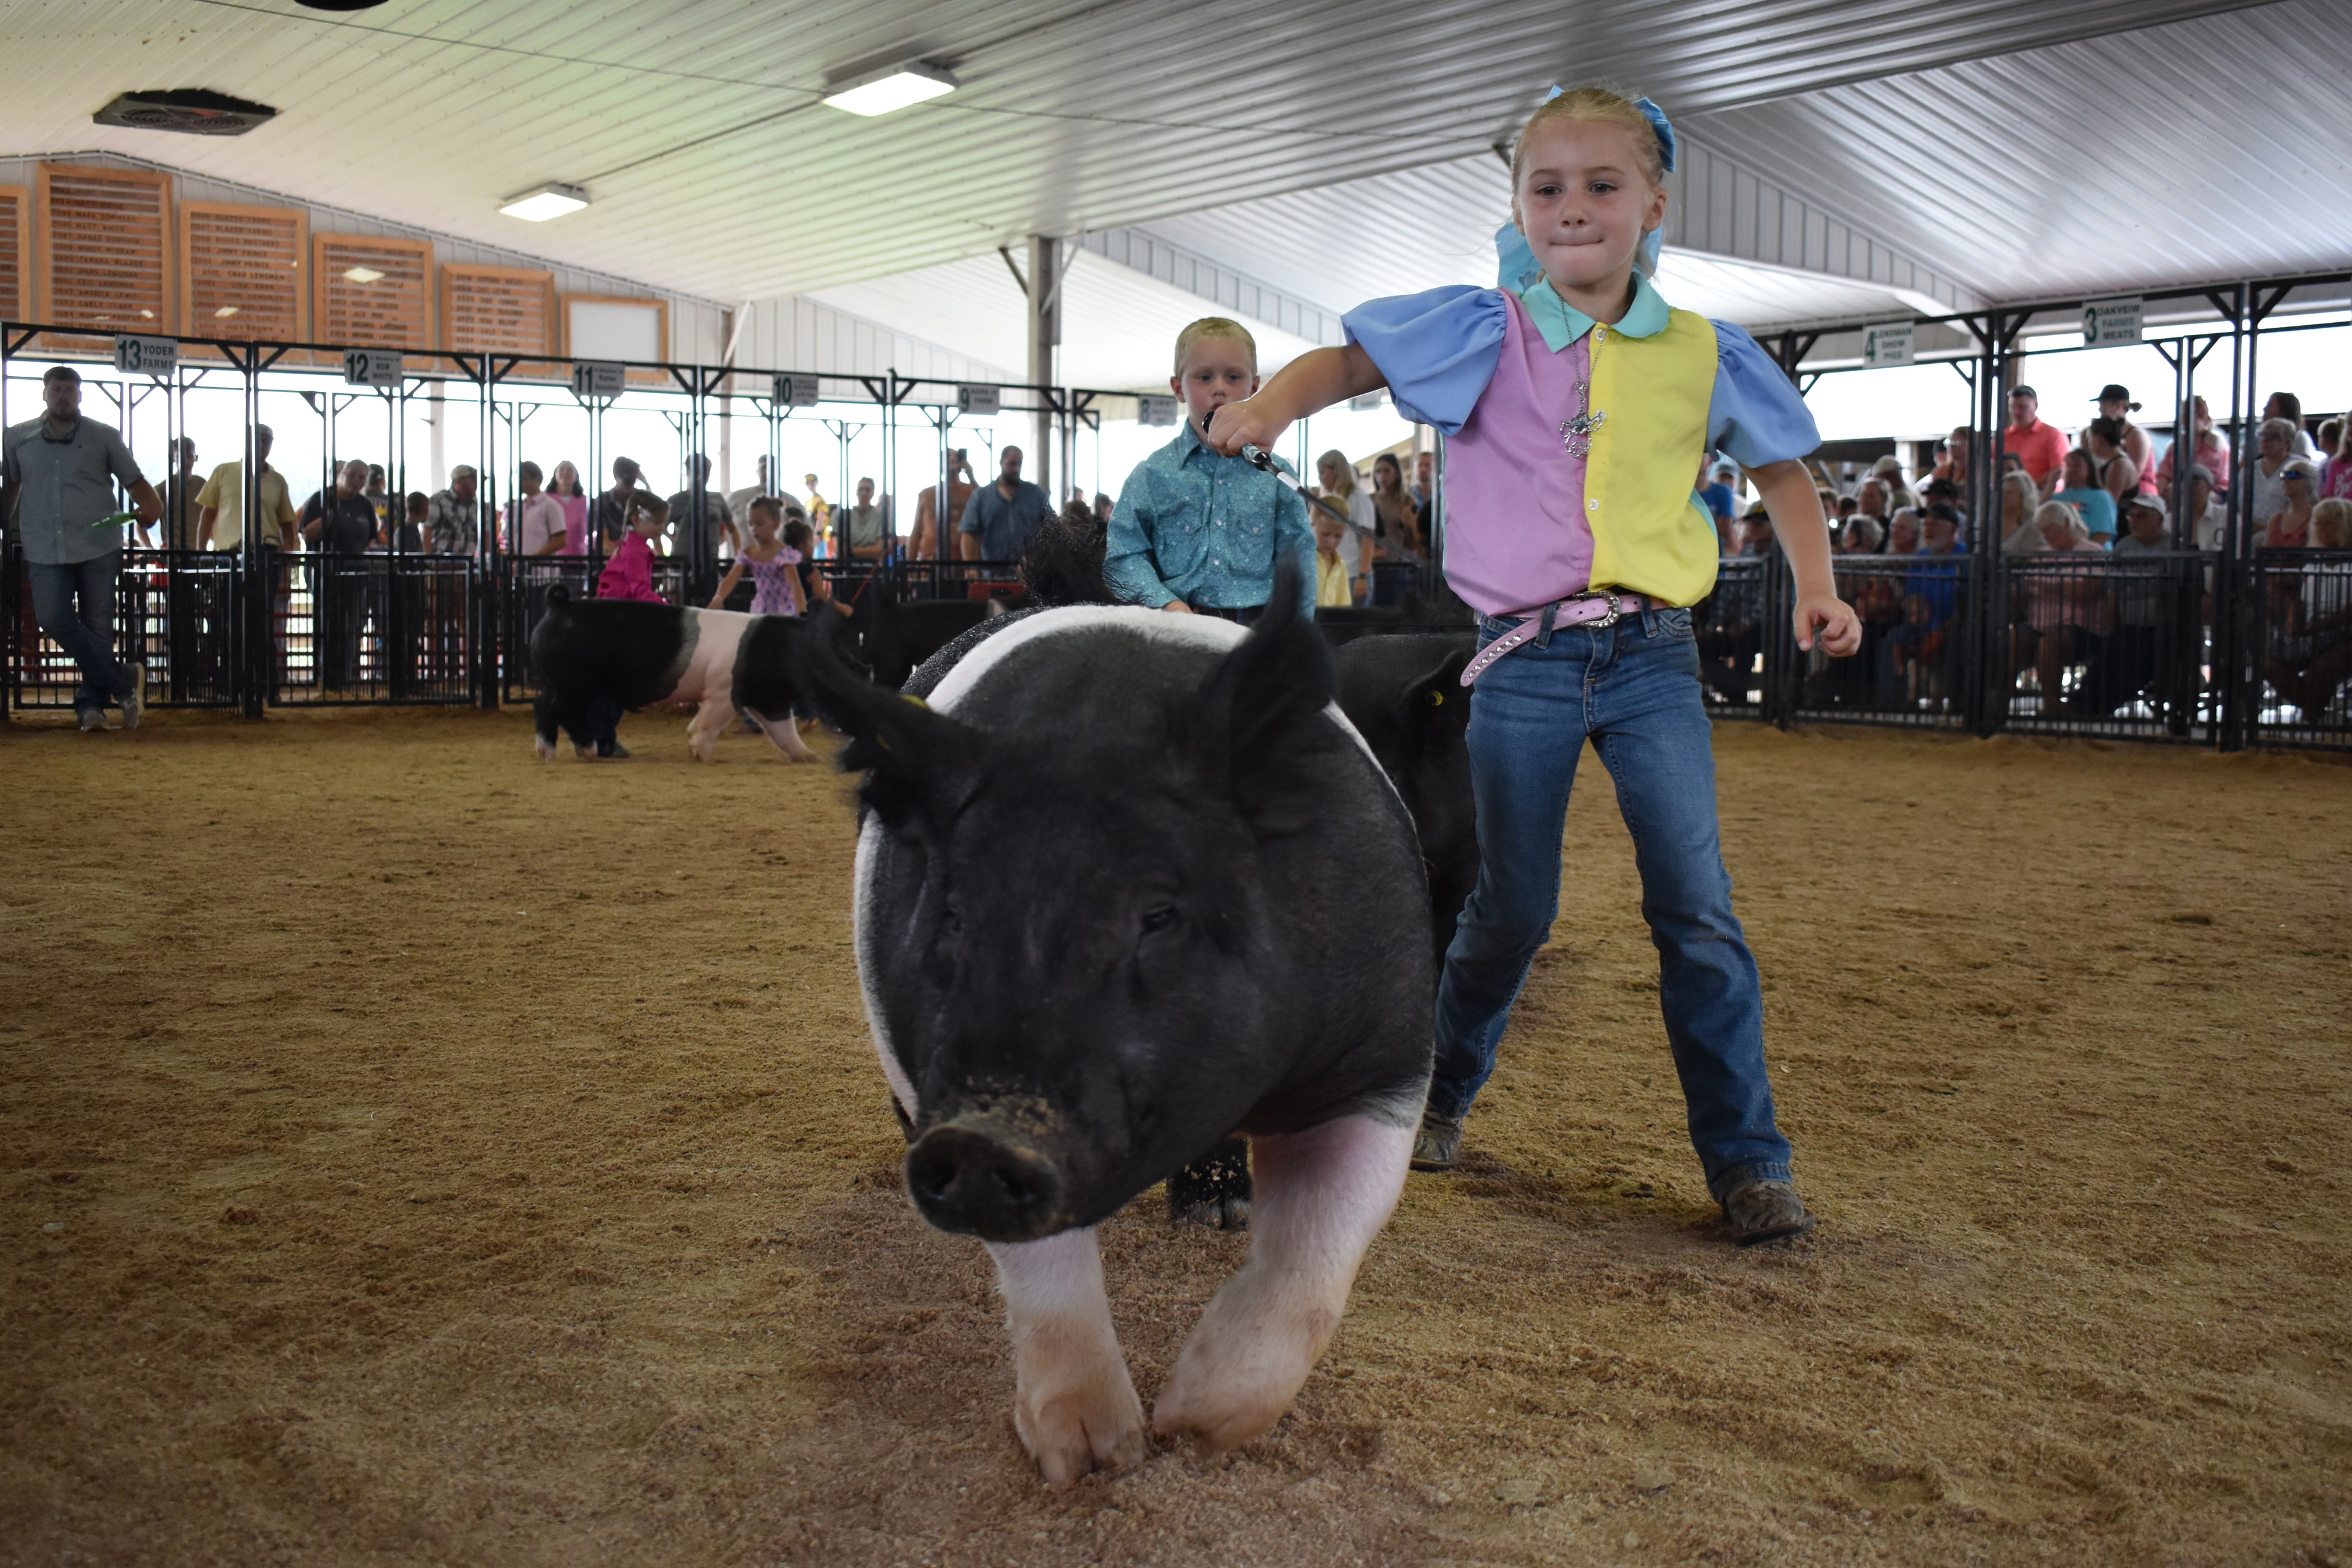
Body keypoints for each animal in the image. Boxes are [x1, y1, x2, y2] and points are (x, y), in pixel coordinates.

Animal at [527, 585, 823, 762]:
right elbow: (709, 722)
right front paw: (700, 754)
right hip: (576, 684)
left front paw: (809, 757)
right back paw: (589, 752)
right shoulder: (723, 690)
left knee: (542, 705)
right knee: (565, 710)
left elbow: (783, 730)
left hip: (554, 682)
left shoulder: (768, 699)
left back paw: (547, 753)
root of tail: (559, 606)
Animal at [795, 567, 1434, 1485]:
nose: (985, 1135)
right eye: (953, 915)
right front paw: (1097, 1459)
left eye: (1160, 914)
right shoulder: (932, 1085)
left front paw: (1196, 1424)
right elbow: (1043, 1268)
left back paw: (1219, 1214)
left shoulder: (1386, 1056)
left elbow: (1320, 1253)